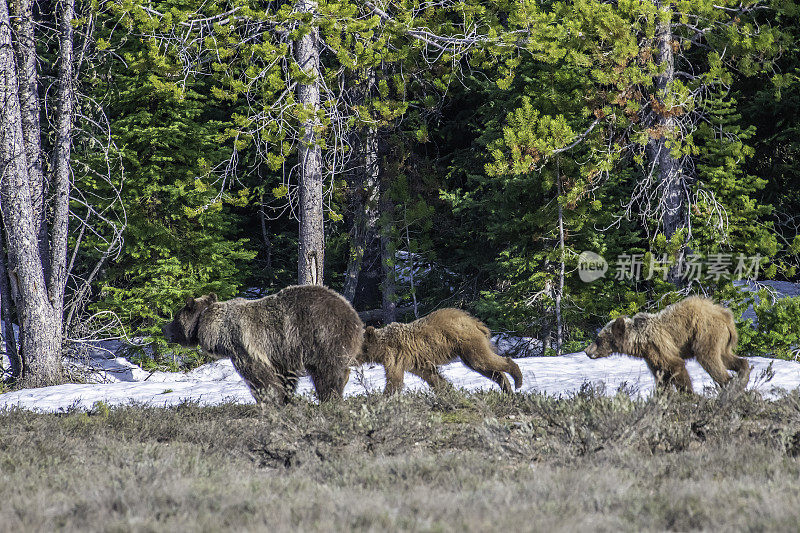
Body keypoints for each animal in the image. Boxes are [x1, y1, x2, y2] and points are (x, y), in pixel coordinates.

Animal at [162, 286, 362, 404]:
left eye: (175, 317)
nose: (165, 329)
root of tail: (353, 314)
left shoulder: (243, 347)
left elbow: (259, 377)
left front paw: (268, 400)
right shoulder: (281, 352)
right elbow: (284, 377)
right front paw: (286, 398)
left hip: (322, 336)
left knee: (326, 372)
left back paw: (330, 397)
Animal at [358, 308, 520, 394]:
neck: (381, 347)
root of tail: (474, 321)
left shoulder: (396, 355)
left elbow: (394, 379)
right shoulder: (417, 362)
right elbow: (432, 376)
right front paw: (448, 390)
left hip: (467, 342)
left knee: (482, 360)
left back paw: (517, 379)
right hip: (465, 350)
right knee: (482, 366)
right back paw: (507, 388)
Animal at [580, 296, 752, 390]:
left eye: (598, 339)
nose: (587, 351)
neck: (639, 342)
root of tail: (726, 317)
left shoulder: (659, 347)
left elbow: (677, 367)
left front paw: (689, 394)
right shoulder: (652, 358)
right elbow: (662, 377)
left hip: (706, 335)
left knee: (710, 359)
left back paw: (729, 384)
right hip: (721, 341)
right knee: (727, 358)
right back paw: (742, 376)